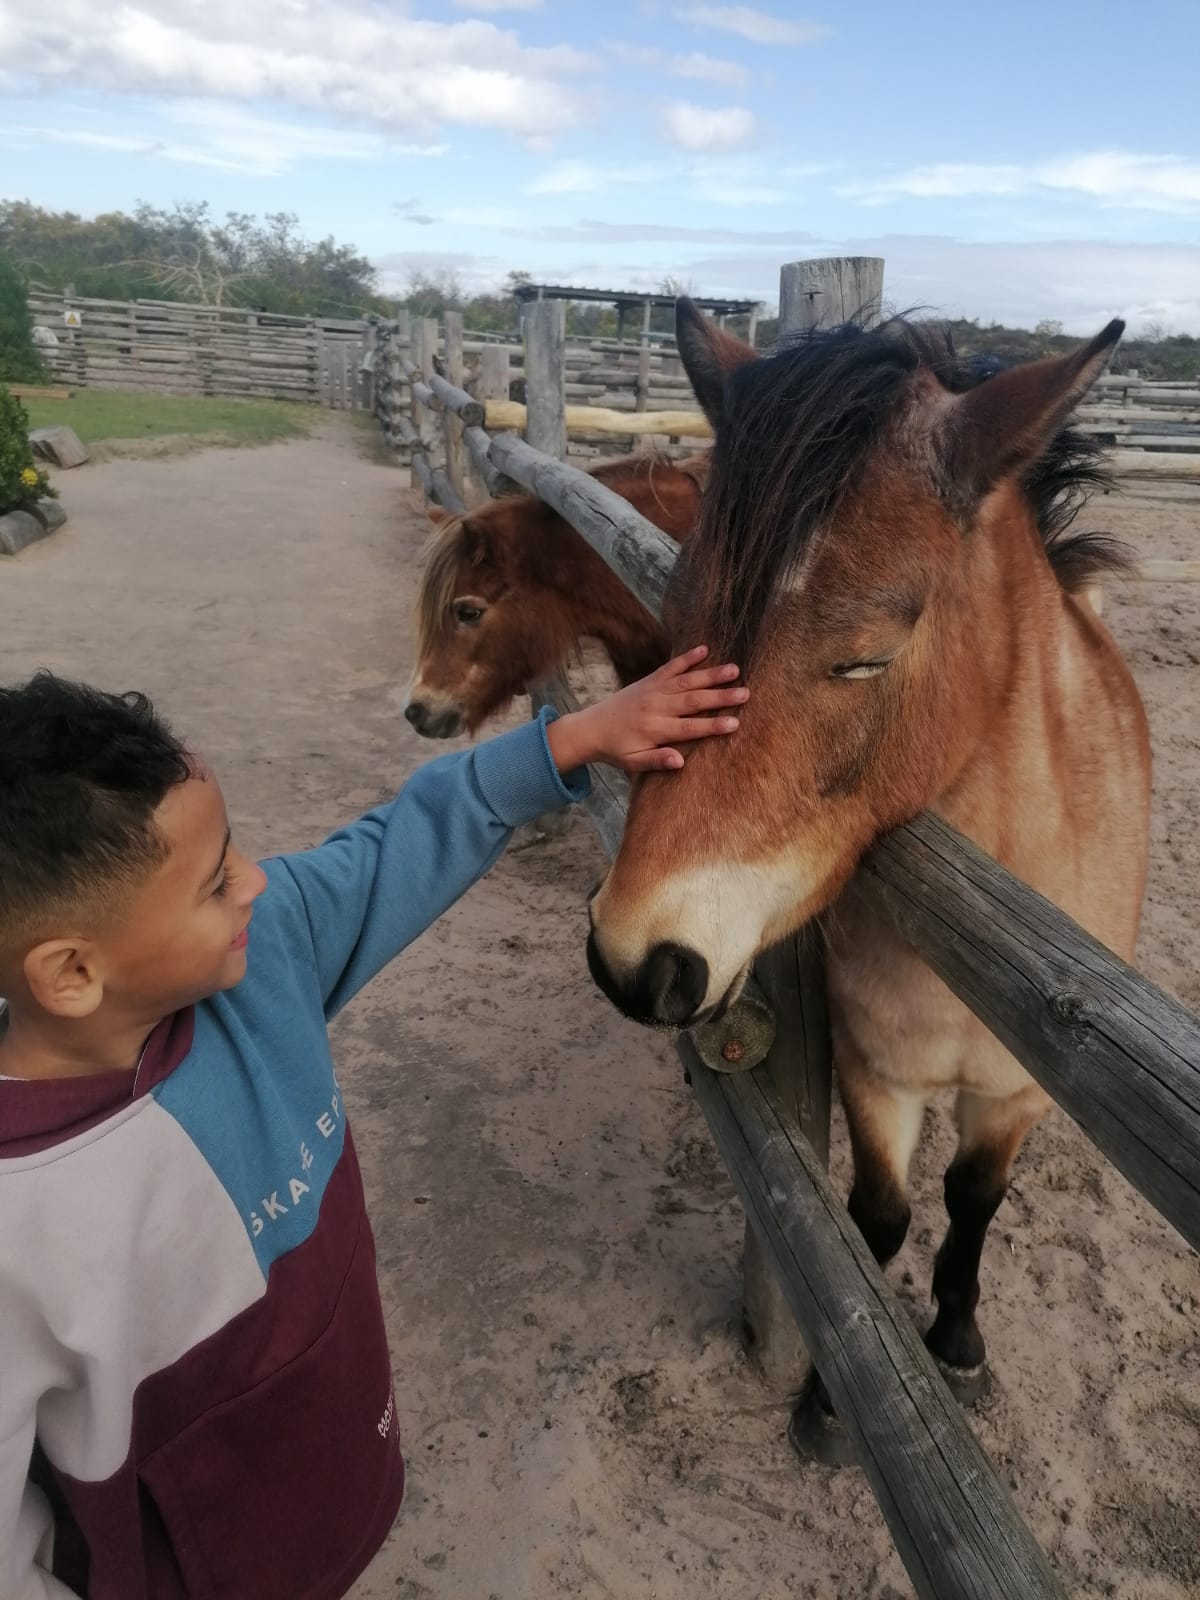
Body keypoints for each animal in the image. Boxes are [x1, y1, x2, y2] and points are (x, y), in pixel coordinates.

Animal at [586, 300, 1150, 1434]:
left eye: (864, 658)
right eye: (679, 619)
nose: (634, 960)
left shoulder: (1016, 1095)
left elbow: (972, 1201)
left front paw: (959, 1344)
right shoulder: (875, 1071)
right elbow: (878, 1216)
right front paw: (829, 1404)